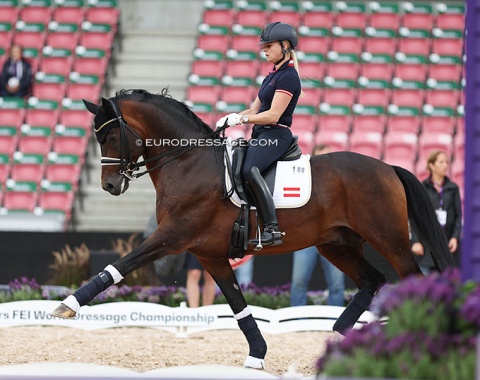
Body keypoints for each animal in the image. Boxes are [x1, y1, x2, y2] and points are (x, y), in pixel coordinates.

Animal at [51, 89, 454, 368]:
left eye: (110, 137)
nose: (109, 186)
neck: (187, 161)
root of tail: (389, 167)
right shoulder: (208, 254)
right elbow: (238, 305)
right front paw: (257, 355)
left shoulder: (172, 237)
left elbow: (120, 265)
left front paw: (66, 306)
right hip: (336, 245)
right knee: (372, 281)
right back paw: (341, 338)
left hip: (391, 242)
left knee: (414, 281)